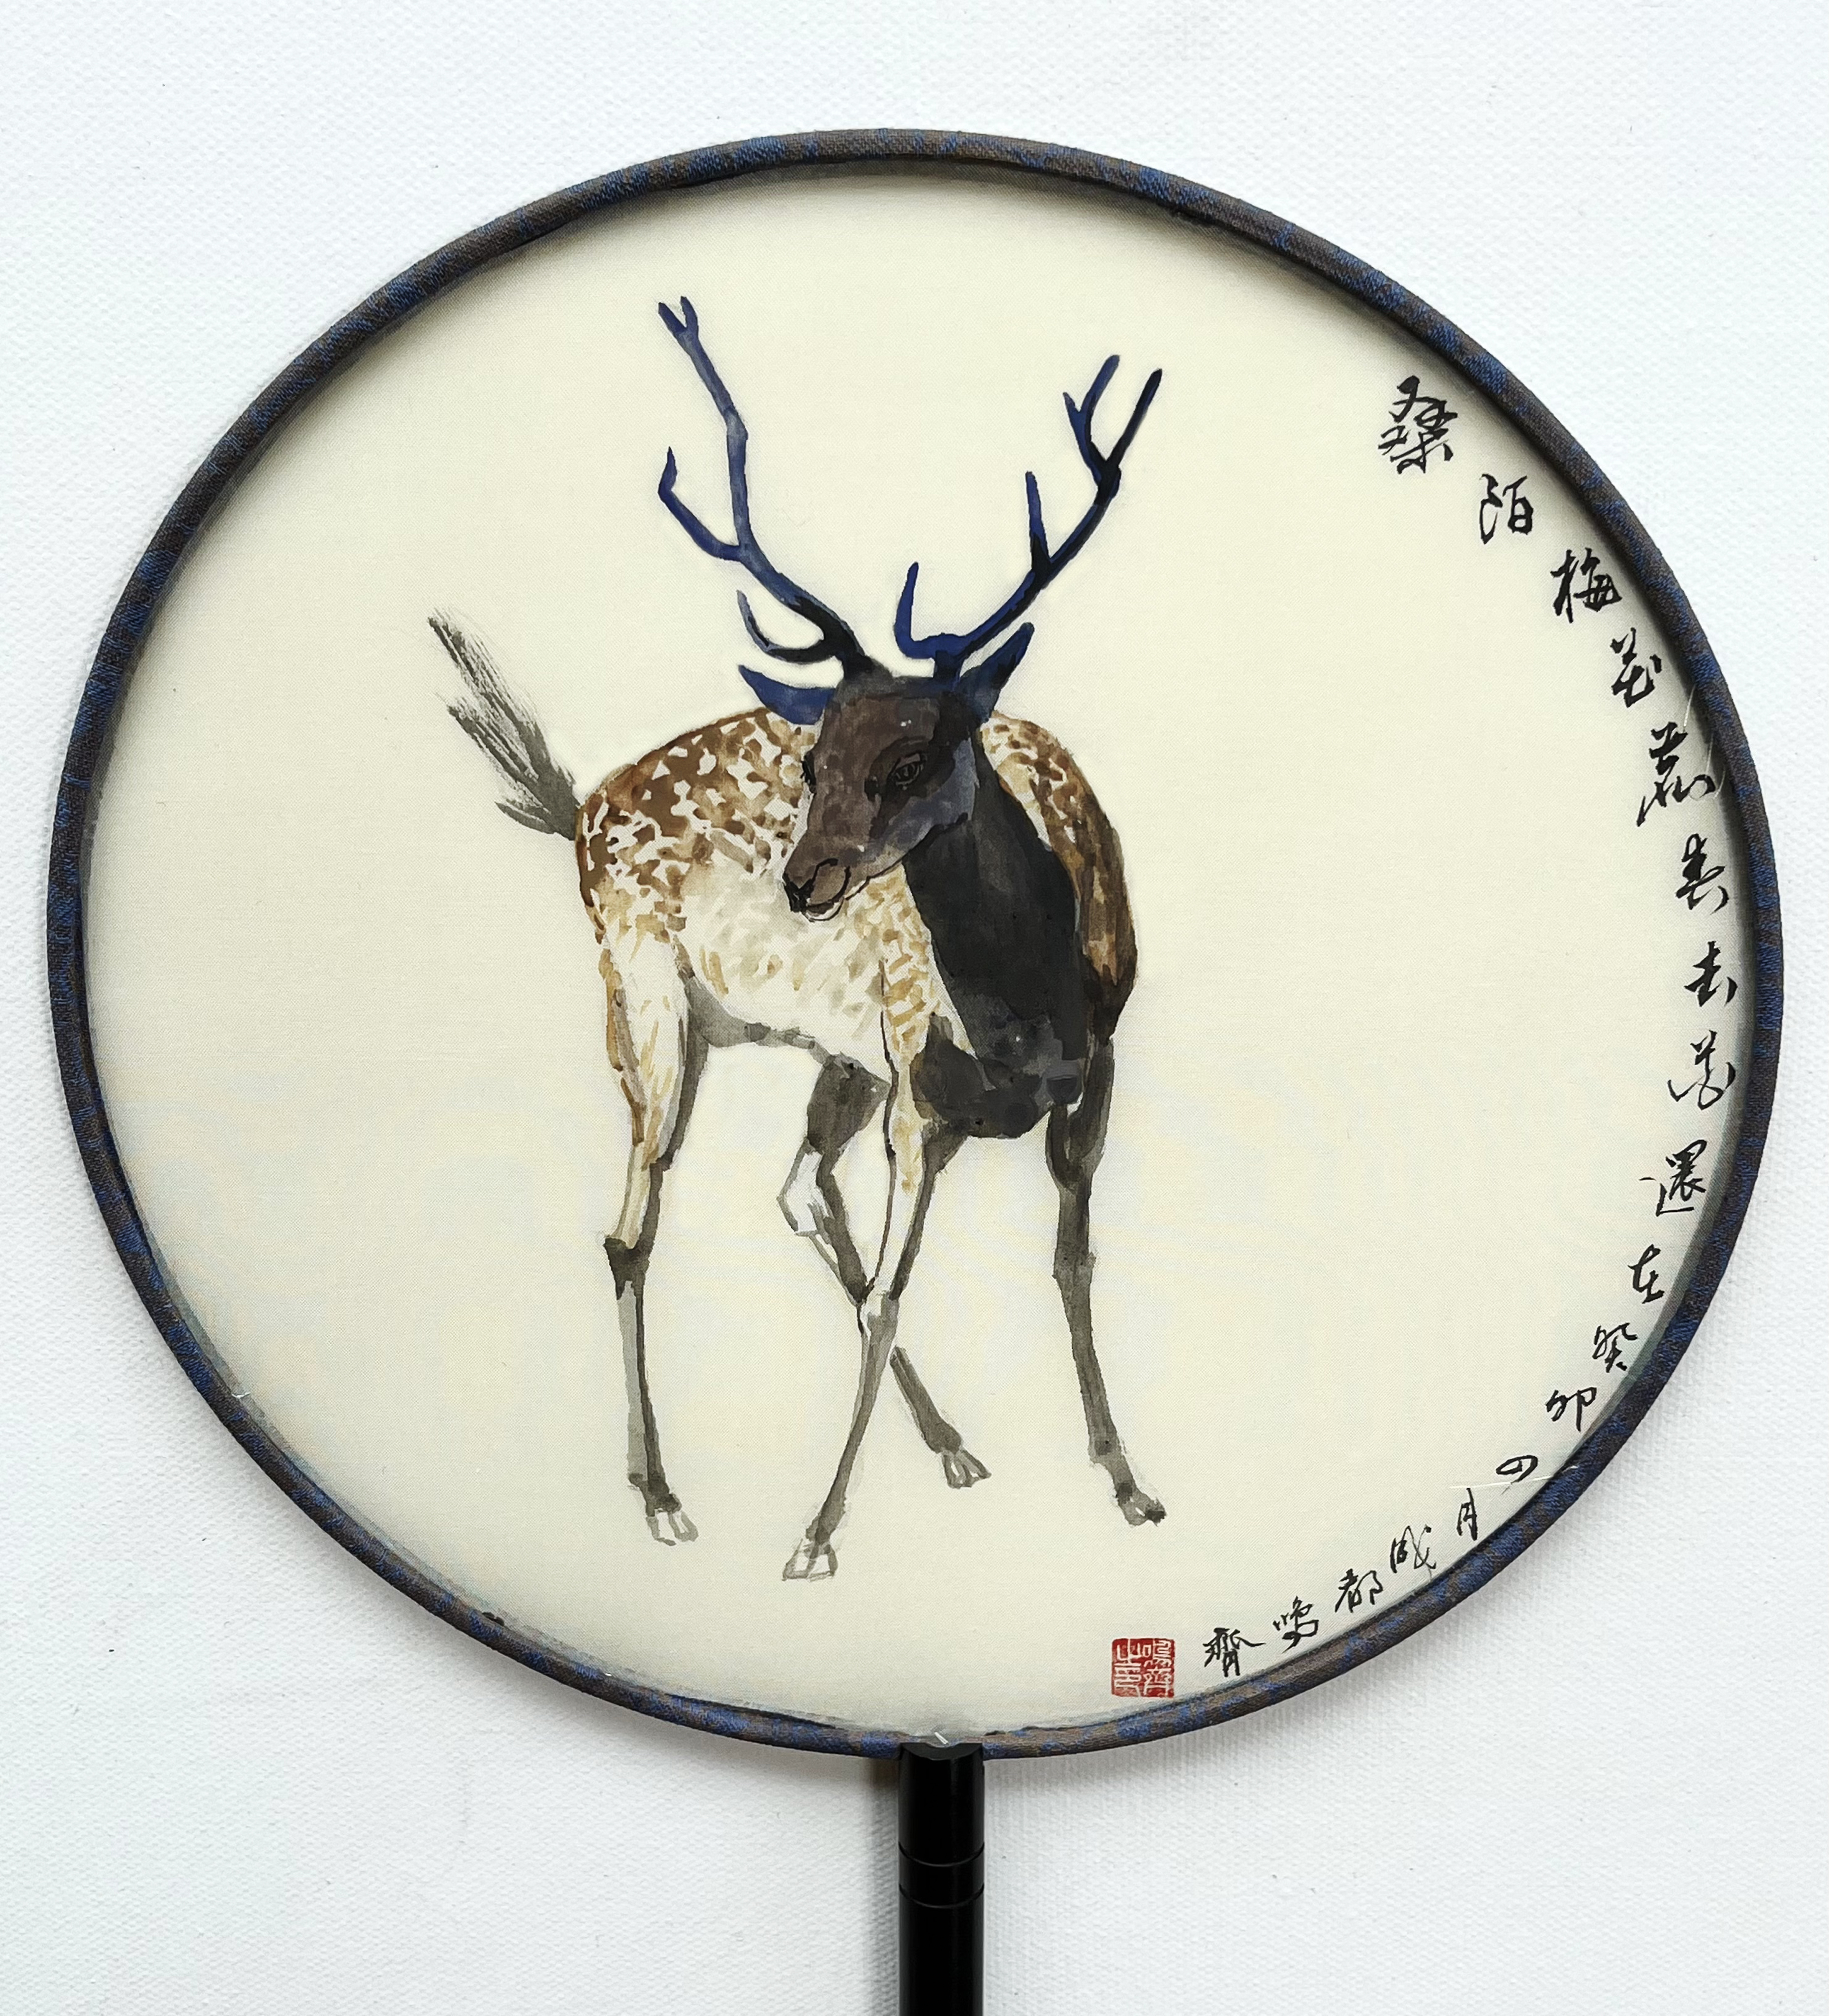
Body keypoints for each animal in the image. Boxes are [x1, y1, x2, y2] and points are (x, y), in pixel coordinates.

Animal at [431, 298, 1164, 1580]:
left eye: (916, 756)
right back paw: (663, 1496)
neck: (1030, 1003)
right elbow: (891, 1297)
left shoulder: (1093, 1071)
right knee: (631, 1230)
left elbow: (1072, 1264)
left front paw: (1127, 1483)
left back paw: (954, 1446)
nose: (805, 876)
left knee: (793, 1189)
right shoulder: (919, 1089)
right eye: (816, 757)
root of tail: (577, 813)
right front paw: (816, 1533)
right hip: (647, 1006)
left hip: (831, 1053)